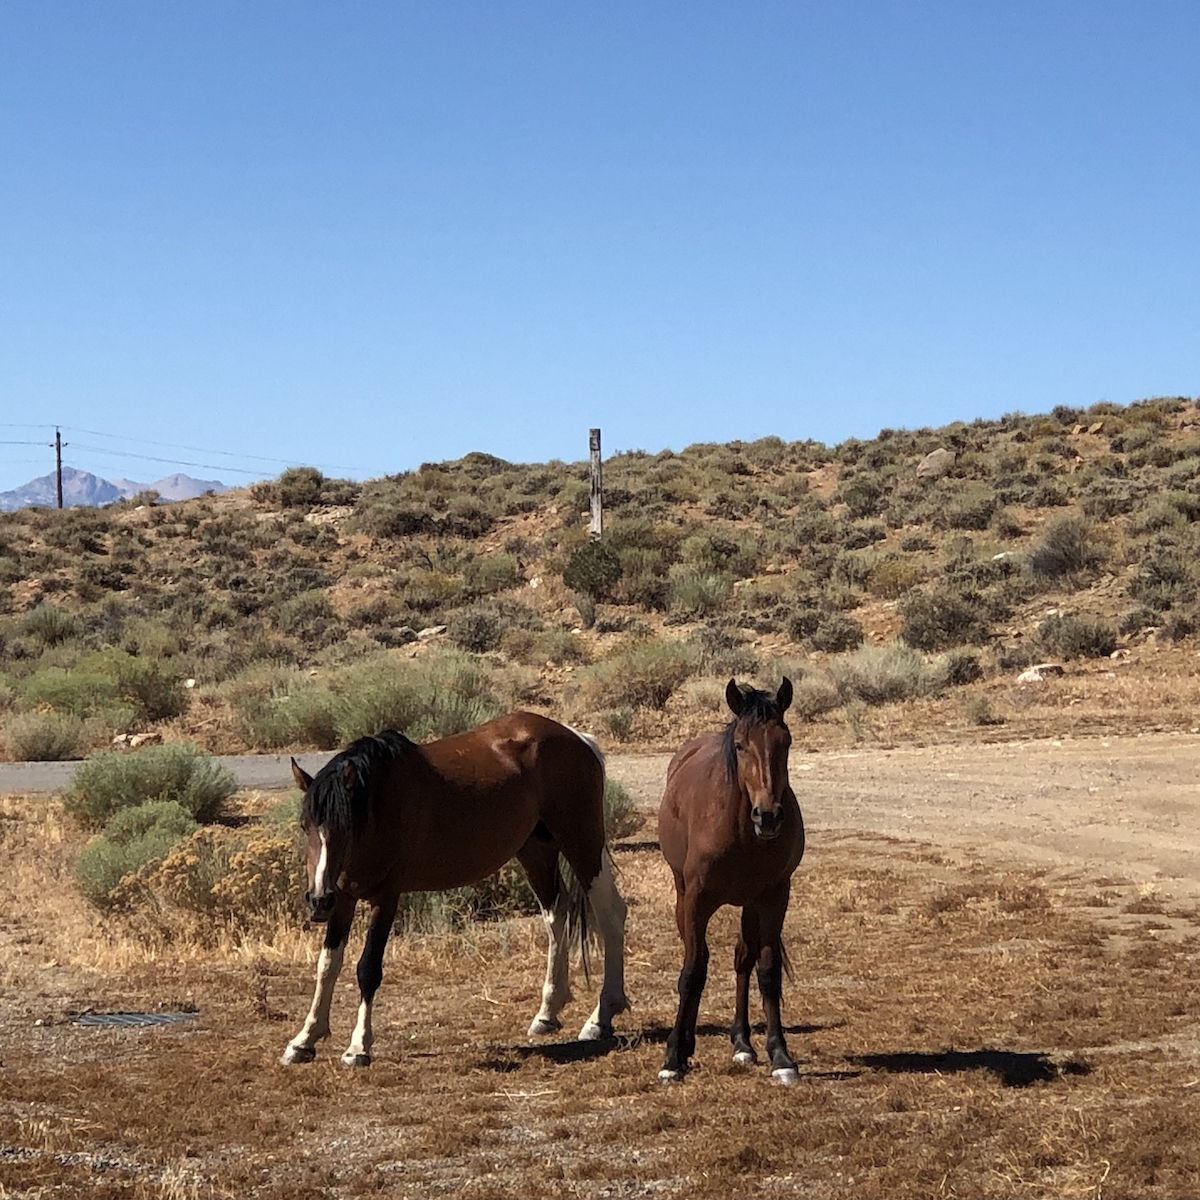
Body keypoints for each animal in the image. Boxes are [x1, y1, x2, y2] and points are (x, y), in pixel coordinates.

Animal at [279, 705, 628, 1065]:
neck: (379, 803)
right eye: (305, 825)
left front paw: (359, 1046)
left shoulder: (386, 897)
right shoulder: (344, 897)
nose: (318, 899)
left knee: (611, 915)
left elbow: (368, 969)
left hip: (582, 843)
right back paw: (547, 1013)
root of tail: (579, 739)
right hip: (536, 850)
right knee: (557, 915)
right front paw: (304, 1040)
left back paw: (601, 1017)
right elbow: (327, 965)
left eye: (344, 826)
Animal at [657, 681, 806, 1084]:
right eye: (740, 744)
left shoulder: (773, 897)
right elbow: (692, 972)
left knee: (743, 958)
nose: (768, 816)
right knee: (698, 959)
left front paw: (780, 1056)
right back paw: (687, 1042)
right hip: (683, 896)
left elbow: (767, 971)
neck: (742, 833)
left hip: (749, 905)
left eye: (785, 741)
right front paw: (673, 1057)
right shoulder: (696, 900)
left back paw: (742, 1043)